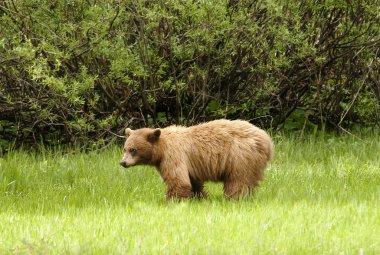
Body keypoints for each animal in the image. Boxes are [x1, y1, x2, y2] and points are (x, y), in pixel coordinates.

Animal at [119, 118, 274, 200]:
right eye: (125, 148)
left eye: (133, 150)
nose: (123, 162)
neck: (161, 149)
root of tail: (268, 142)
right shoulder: (187, 164)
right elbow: (192, 181)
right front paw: (200, 197)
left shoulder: (173, 155)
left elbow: (178, 180)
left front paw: (170, 200)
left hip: (240, 156)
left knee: (238, 180)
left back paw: (234, 198)